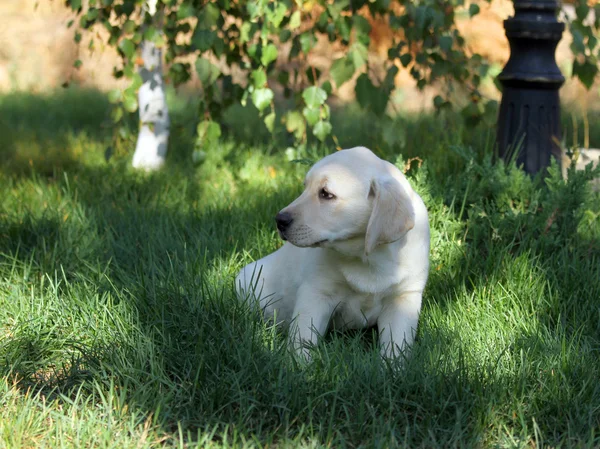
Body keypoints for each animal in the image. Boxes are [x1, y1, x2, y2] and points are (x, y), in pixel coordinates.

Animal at [236, 145, 432, 358]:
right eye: (305, 187)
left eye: (326, 194)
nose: (279, 220)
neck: (368, 257)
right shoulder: (316, 292)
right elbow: (303, 337)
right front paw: (298, 363)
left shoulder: (404, 297)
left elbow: (396, 344)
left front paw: (393, 365)